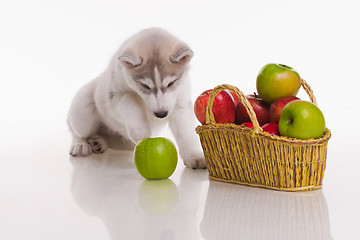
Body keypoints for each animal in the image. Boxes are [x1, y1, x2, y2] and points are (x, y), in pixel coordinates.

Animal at [67, 27, 205, 168]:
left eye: (171, 83)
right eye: (145, 85)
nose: (161, 114)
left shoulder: (180, 104)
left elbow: (185, 133)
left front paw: (194, 156)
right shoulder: (115, 96)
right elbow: (129, 98)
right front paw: (141, 131)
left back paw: (100, 142)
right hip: (82, 111)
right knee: (75, 130)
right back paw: (80, 144)